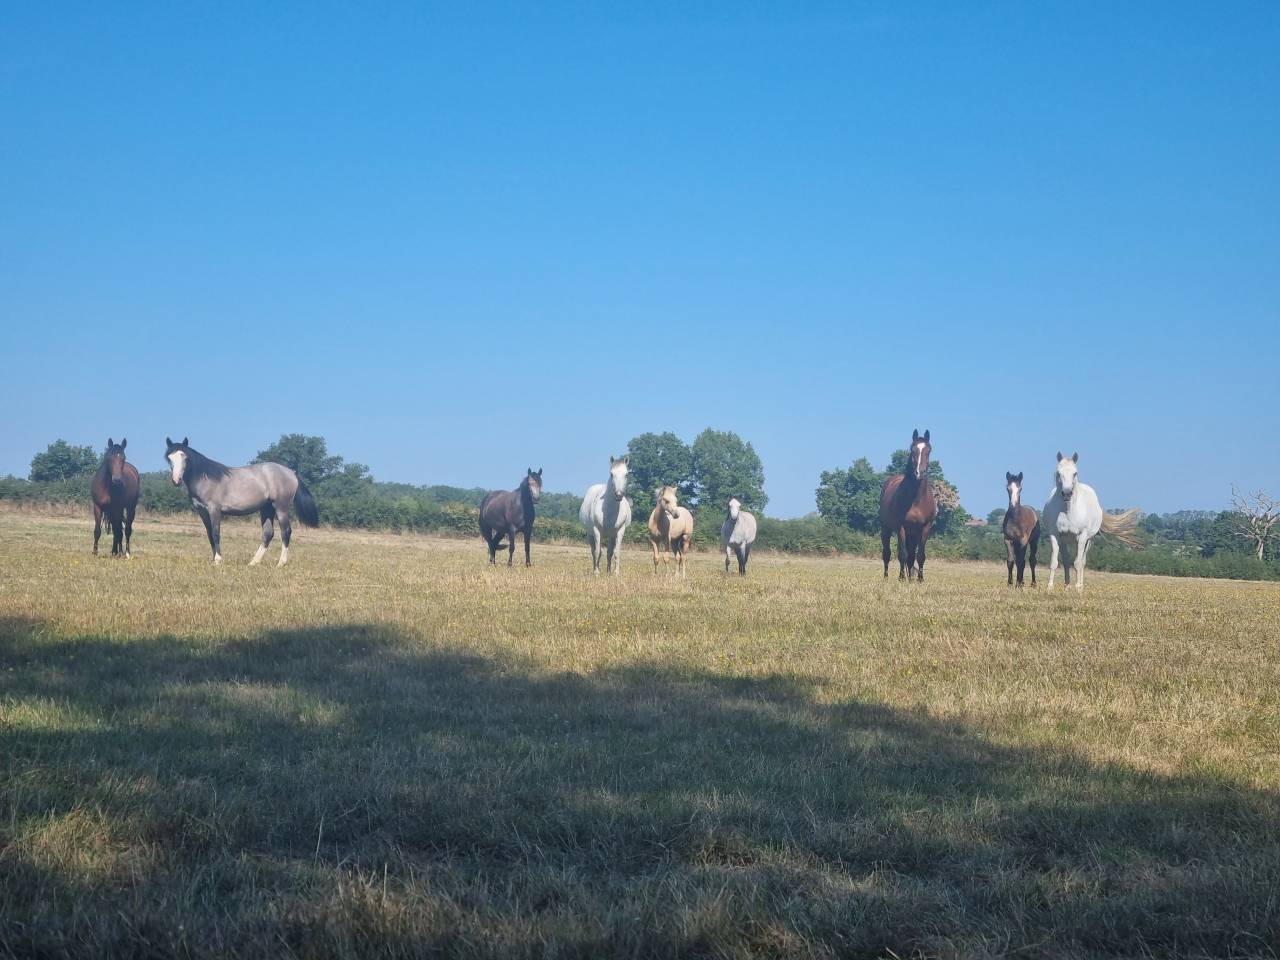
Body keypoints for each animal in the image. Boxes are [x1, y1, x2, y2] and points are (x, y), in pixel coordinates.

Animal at [165, 437, 319, 566]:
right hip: (266, 508)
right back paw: (253, 562)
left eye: (184, 456)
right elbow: (209, 534)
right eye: (169, 458)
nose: (176, 480)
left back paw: (281, 563)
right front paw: (213, 560)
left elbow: (215, 533)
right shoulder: (202, 511)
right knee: (268, 534)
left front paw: (218, 561)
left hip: (281, 507)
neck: (205, 477)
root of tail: (291, 472)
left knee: (286, 531)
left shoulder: (214, 509)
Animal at [879, 428, 939, 581]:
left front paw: (920, 579)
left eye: (929, 450)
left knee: (911, 556)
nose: (919, 473)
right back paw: (886, 577)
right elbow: (902, 554)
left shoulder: (925, 528)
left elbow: (920, 555)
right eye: (912, 449)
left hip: (913, 534)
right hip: (886, 529)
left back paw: (911, 578)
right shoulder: (901, 527)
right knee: (887, 554)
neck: (916, 500)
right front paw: (901, 578)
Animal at [1043, 451, 1141, 592]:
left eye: (1075, 473)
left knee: (1082, 561)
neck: (1067, 511)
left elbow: (1078, 563)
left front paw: (1078, 588)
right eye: (1058, 472)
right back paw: (1067, 587)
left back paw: (1080, 586)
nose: (1067, 493)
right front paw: (1050, 589)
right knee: (1066, 561)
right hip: (1065, 541)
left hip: (1088, 541)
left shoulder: (1082, 536)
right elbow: (1054, 562)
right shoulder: (1055, 535)